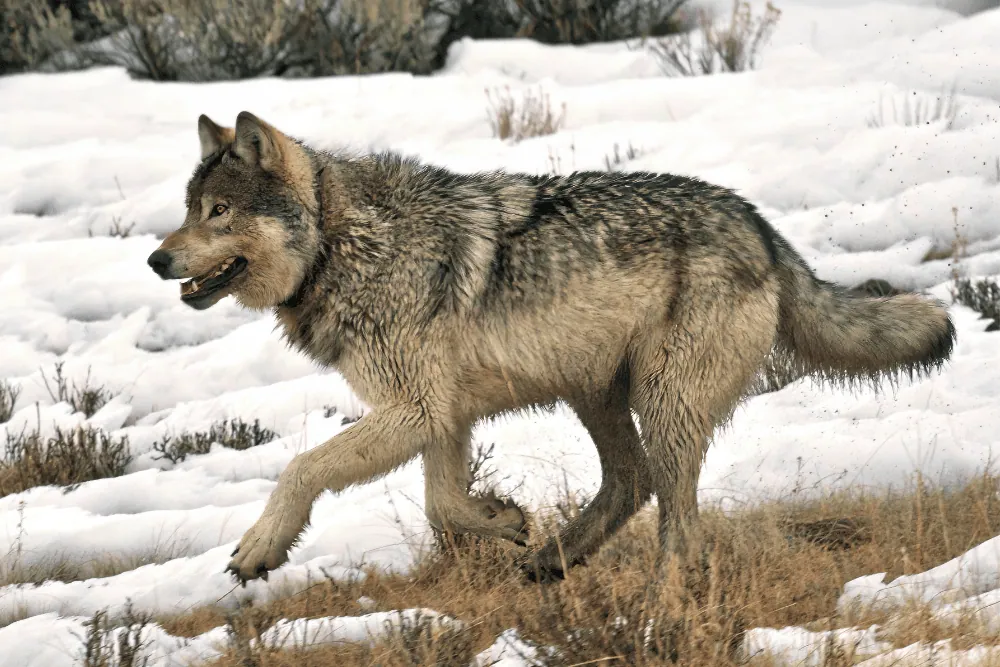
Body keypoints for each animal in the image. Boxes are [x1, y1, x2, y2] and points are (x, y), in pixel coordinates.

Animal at [147, 111, 955, 584]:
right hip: (594, 392)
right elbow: (445, 505)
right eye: (189, 209)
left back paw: (656, 602)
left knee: (676, 520)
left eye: (220, 212)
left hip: (658, 401)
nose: (156, 260)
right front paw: (507, 521)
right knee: (632, 482)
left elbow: (302, 468)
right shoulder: (441, 416)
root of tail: (761, 225)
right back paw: (551, 559)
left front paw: (260, 547)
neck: (344, 245)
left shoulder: (416, 409)